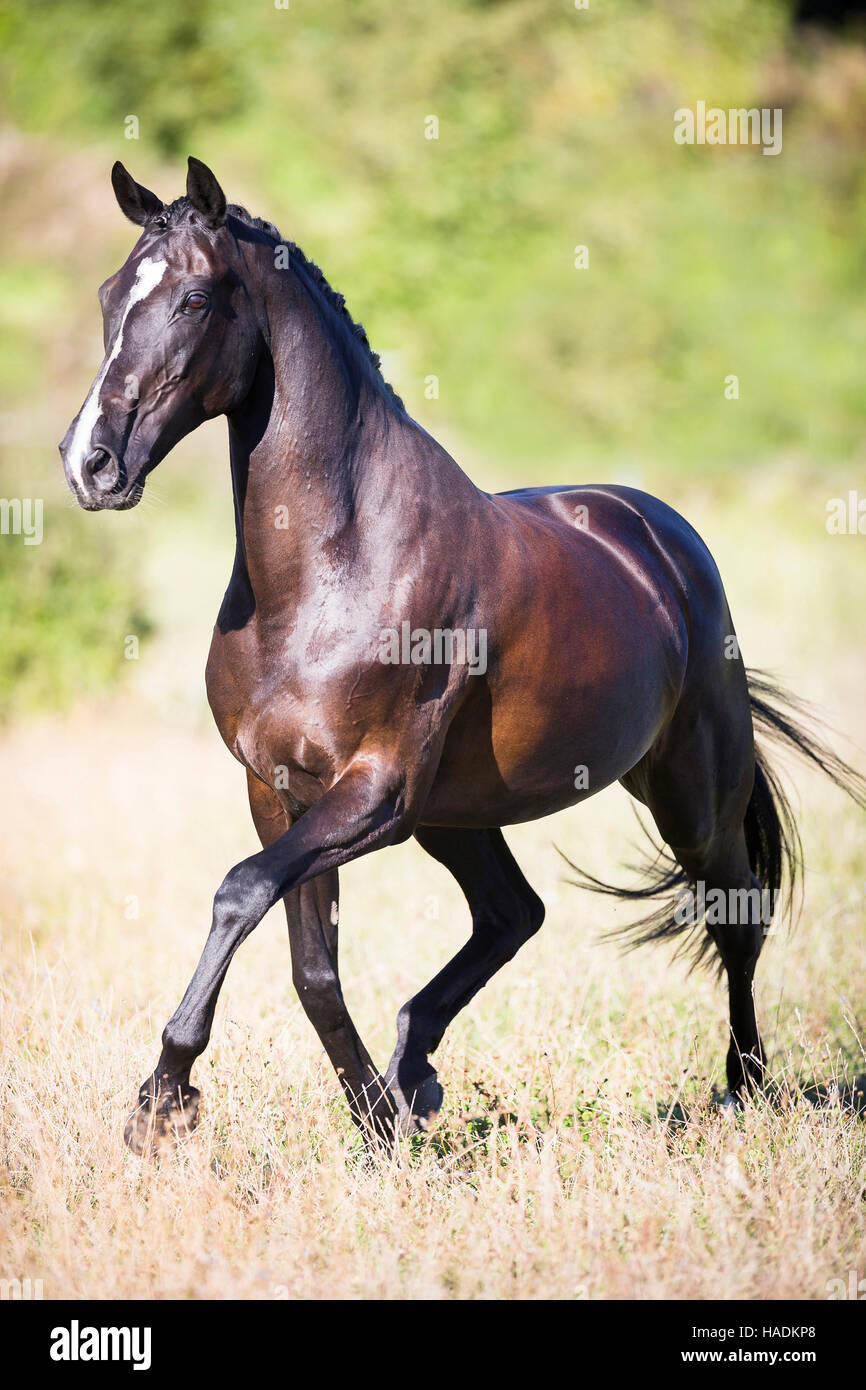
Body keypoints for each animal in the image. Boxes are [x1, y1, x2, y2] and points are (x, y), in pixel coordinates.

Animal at [57, 157, 861, 1150]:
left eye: (197, 298)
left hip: (688, 791)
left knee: (734, 915)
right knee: (514, 915)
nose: (89, 464)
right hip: (464, 815)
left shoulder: (378, 793)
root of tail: (661, 538)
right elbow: (311, 969)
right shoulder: (281, 795)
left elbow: (238, 895)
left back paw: (744, 1089)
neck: (336, 568)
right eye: (108, 294)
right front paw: (376, 1121)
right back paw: (416, 1074)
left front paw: (164, 1096)